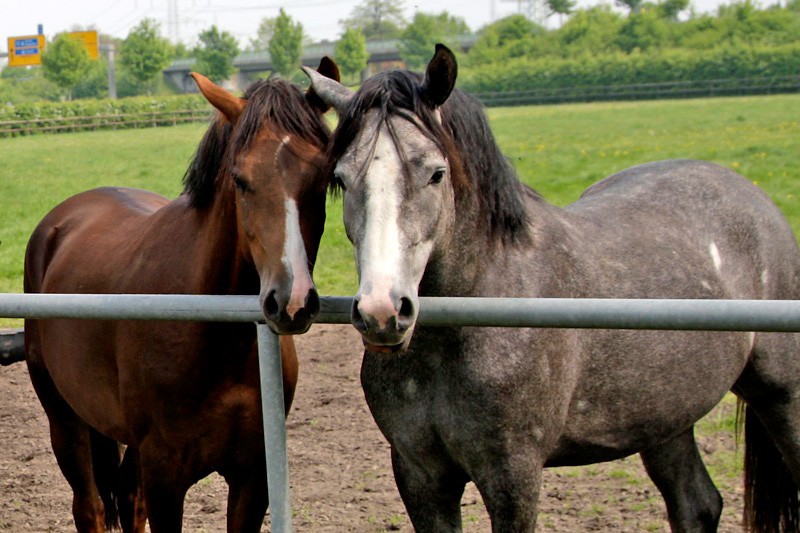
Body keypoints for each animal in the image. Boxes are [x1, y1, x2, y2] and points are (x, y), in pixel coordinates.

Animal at [22, 61, 340, 528]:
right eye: (240, 180)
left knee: (128, 499)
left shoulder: (253, 478)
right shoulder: (166, 476)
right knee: (90, 507)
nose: (292, 300)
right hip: (65, 421)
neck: (216, 339)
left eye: (324, 180)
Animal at [308, 46, 800, 532]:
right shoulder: (420, 475)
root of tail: (754, 196)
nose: (382, 312)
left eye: (436, 174)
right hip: (665, 416)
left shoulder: (513, 477)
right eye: (341, 180)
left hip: (781, 396)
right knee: (696, 504)